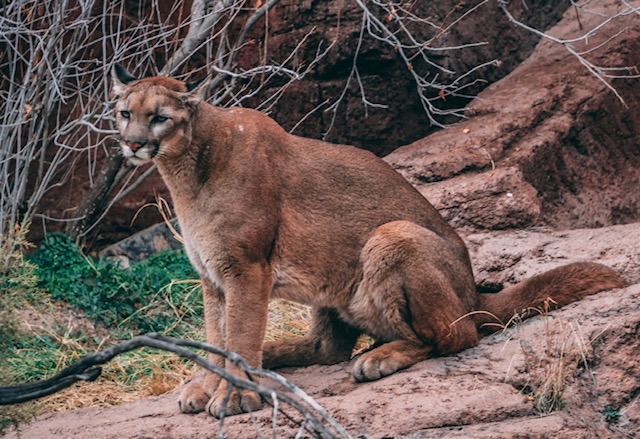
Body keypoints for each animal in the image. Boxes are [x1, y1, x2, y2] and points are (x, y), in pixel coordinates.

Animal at [111, 64, 627, 418]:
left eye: (159, 118)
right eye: (123, 114)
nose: (132, 144)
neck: (185, 170)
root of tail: (473, 291)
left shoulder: (246, 269)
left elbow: (237, 335)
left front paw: (233, 393)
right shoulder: (212, 275)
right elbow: (216, 335)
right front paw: (207, 384)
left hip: (392, 235)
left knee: (454, 336)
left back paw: (379, 357)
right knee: (329, 349)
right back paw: (276, 356)